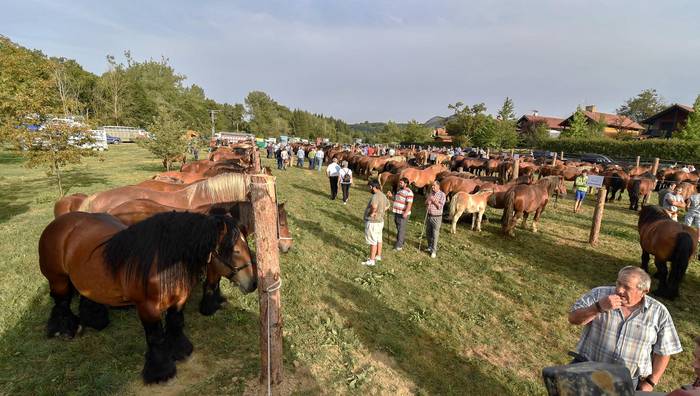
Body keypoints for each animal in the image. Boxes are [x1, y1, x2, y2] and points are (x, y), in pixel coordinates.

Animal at [39, 213, 258, 384]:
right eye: (235, 250)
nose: (254, 283)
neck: (163, 264)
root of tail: (58, 223)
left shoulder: (178, 300)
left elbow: (175, 323)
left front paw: (180, 351)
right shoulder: (147, 308)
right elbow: (155, 337)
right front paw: (161, 372)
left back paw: (94, 320)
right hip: (58, 279)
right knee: (61, 301)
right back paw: (64, 330)